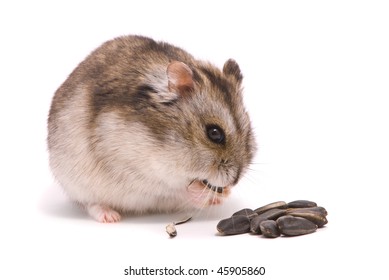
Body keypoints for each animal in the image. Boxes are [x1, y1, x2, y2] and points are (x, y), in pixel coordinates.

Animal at [47, 35, 256, 223]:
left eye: (248, 131)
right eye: (214, 133)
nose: (235, 181)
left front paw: (224, 194)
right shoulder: (134, 170)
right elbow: (177, 189)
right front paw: (209, 193)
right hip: (76, 183)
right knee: (90, 204)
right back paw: (110, 217)